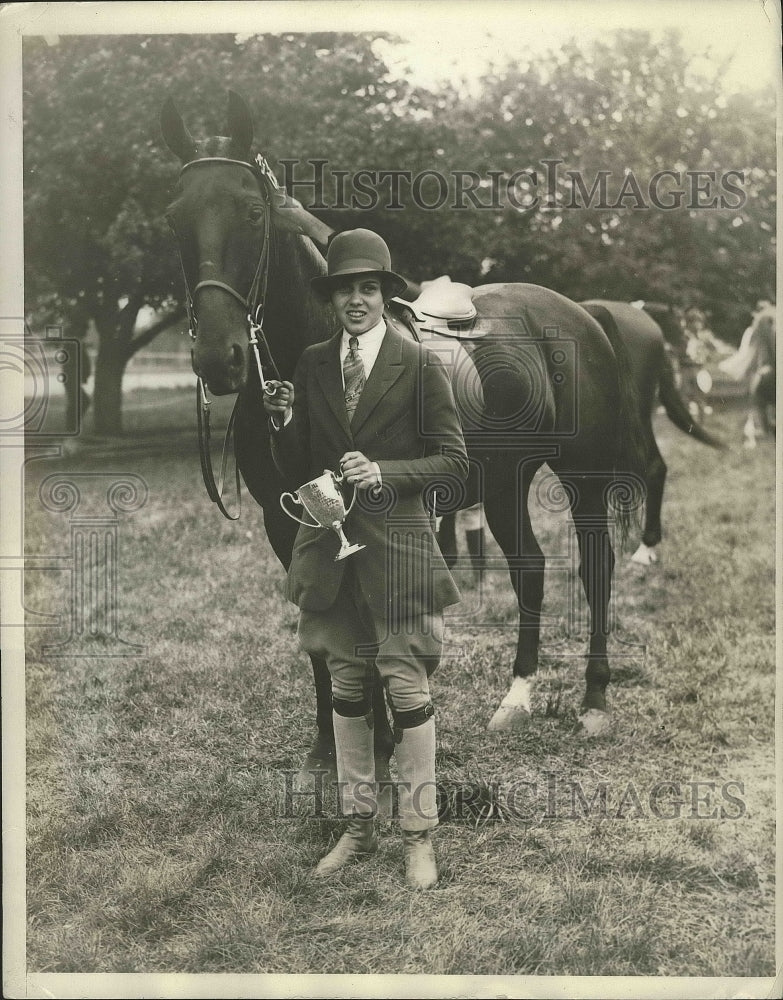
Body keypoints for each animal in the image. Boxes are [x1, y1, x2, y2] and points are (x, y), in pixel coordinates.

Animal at [161, 94, 648, 752]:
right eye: (175, 218)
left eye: (253, 212)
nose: (220, 358)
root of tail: (584, 313)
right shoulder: (285, 521)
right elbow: (323, 629)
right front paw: (333, 746)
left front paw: (381, 739)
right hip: (504, 481)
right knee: (530, 568)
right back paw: (516, 698)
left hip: (585, 478)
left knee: (597, 569)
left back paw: (594, 699)